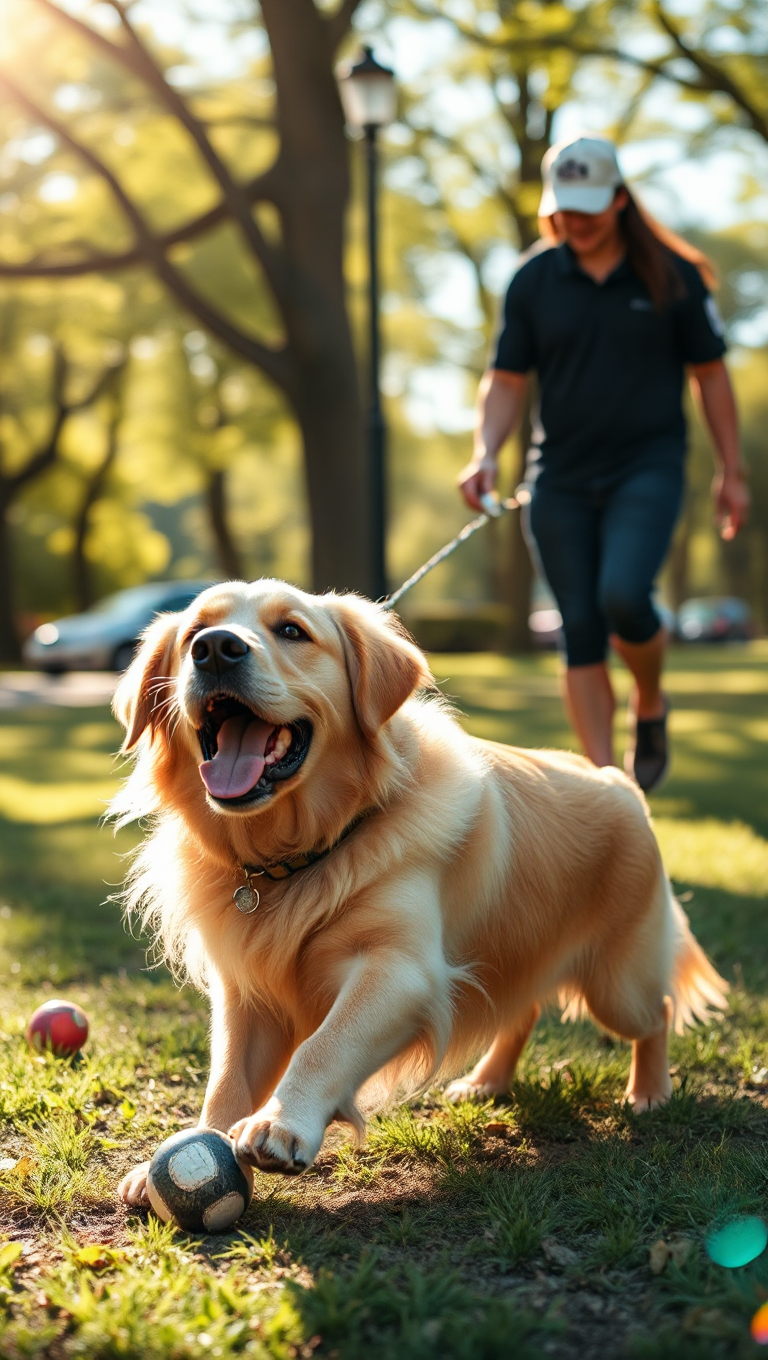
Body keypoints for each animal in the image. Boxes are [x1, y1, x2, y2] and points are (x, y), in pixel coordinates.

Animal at [113, 579, 723, 1207]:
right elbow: (227, 1078)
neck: (303, 855)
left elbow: (324, 1044)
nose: (215, 649)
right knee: (521, 1008)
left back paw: (649, 1092)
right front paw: (191, 1148)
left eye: (291, 630)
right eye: (193, 633)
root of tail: (615, 778)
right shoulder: (246, 991)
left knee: (657, 1014)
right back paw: (486, 1081)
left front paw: (282, 1123)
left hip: (616, 984)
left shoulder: (401, 970)